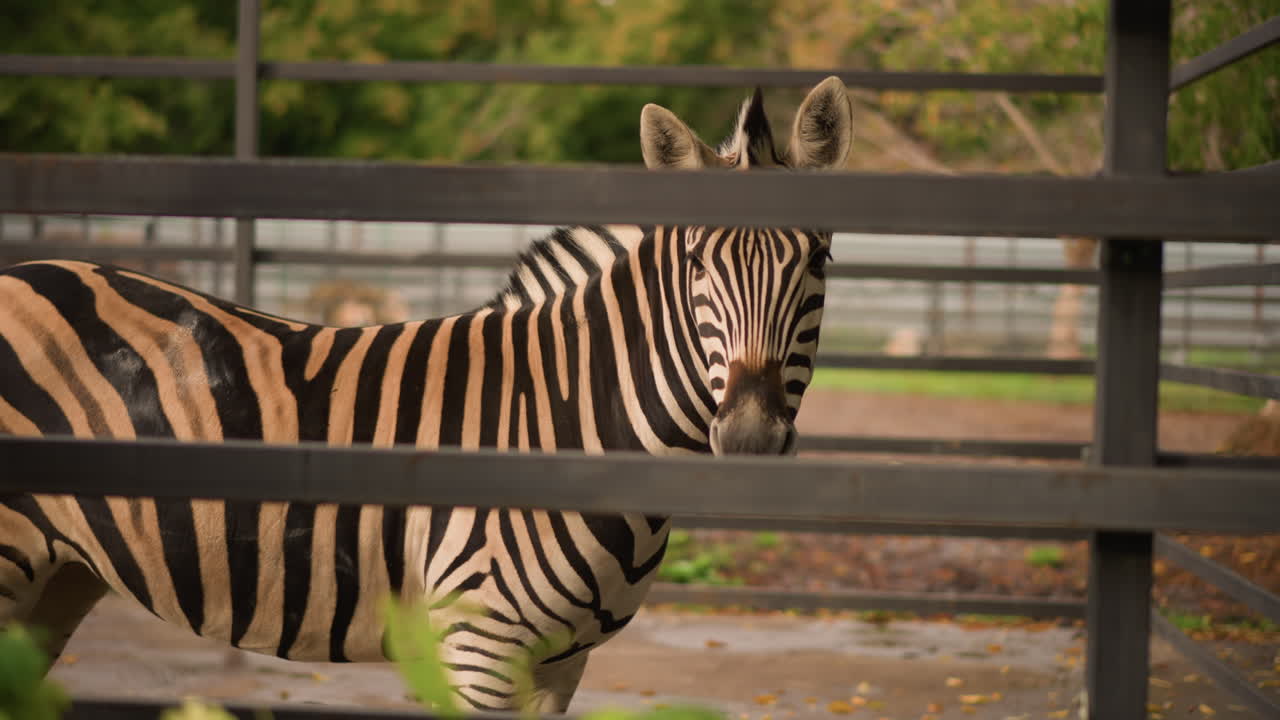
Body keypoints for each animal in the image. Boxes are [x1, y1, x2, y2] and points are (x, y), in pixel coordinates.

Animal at [0, 76, 853, 711]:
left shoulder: (560, 664)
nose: (749, 437)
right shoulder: (479, 649)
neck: (571, 421)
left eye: (817, 262)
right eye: (697, 267)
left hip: (60, 576)